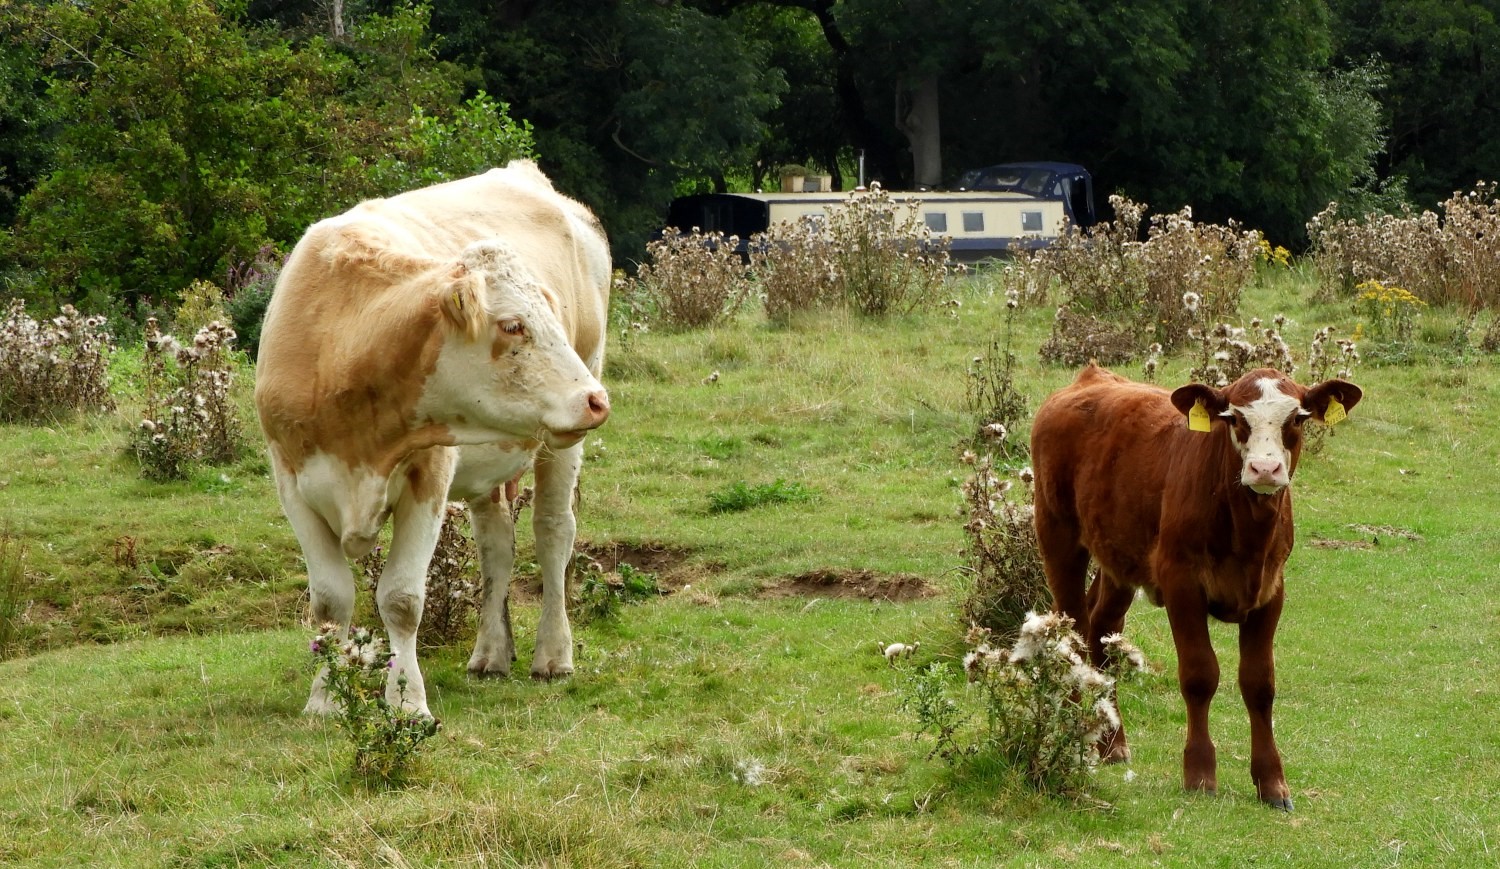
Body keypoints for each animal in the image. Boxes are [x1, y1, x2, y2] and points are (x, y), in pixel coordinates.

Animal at [256, 159, 609, 717]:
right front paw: (324, 700)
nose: (596, 399)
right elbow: (330, 600)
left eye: (551, 315)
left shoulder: (430, 475)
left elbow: (401, 599)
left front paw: (407, 703)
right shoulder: (291, 481)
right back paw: (491, 653)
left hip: (566, 434)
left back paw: (553, 655)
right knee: (496, 544)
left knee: (553, 533)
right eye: (513, 325)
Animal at [1032, 363, 1362, 810]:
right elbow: (1200, 674)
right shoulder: (1181, 583)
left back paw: (1111, 742)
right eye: (1235, 419)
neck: (1247, 531)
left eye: (1296, 419)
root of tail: (1088, 379)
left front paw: (1272, 782)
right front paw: (1200, 773)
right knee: (1072, 632)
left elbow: (1260, 682)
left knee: (1101, 628)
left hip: (1119, 555)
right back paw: (1078, 731)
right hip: (1058, 534)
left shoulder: (1270, 592)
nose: (1264, 470)